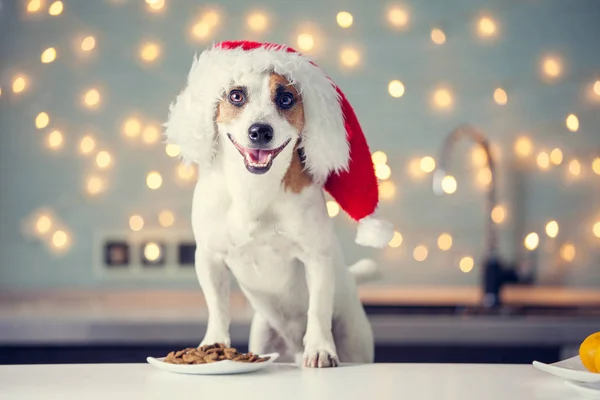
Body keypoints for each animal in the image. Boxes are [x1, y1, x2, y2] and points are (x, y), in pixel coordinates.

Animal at [165, 41, 394, 368]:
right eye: (236, 95)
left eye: (286, 98)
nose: (260, 131)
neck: (253, 189)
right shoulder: (209, 258)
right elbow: (217, 307)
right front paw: (213, 344)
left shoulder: (316, 258)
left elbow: (317, 309)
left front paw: (320, 349)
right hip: (264, 335)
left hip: (353, 336)